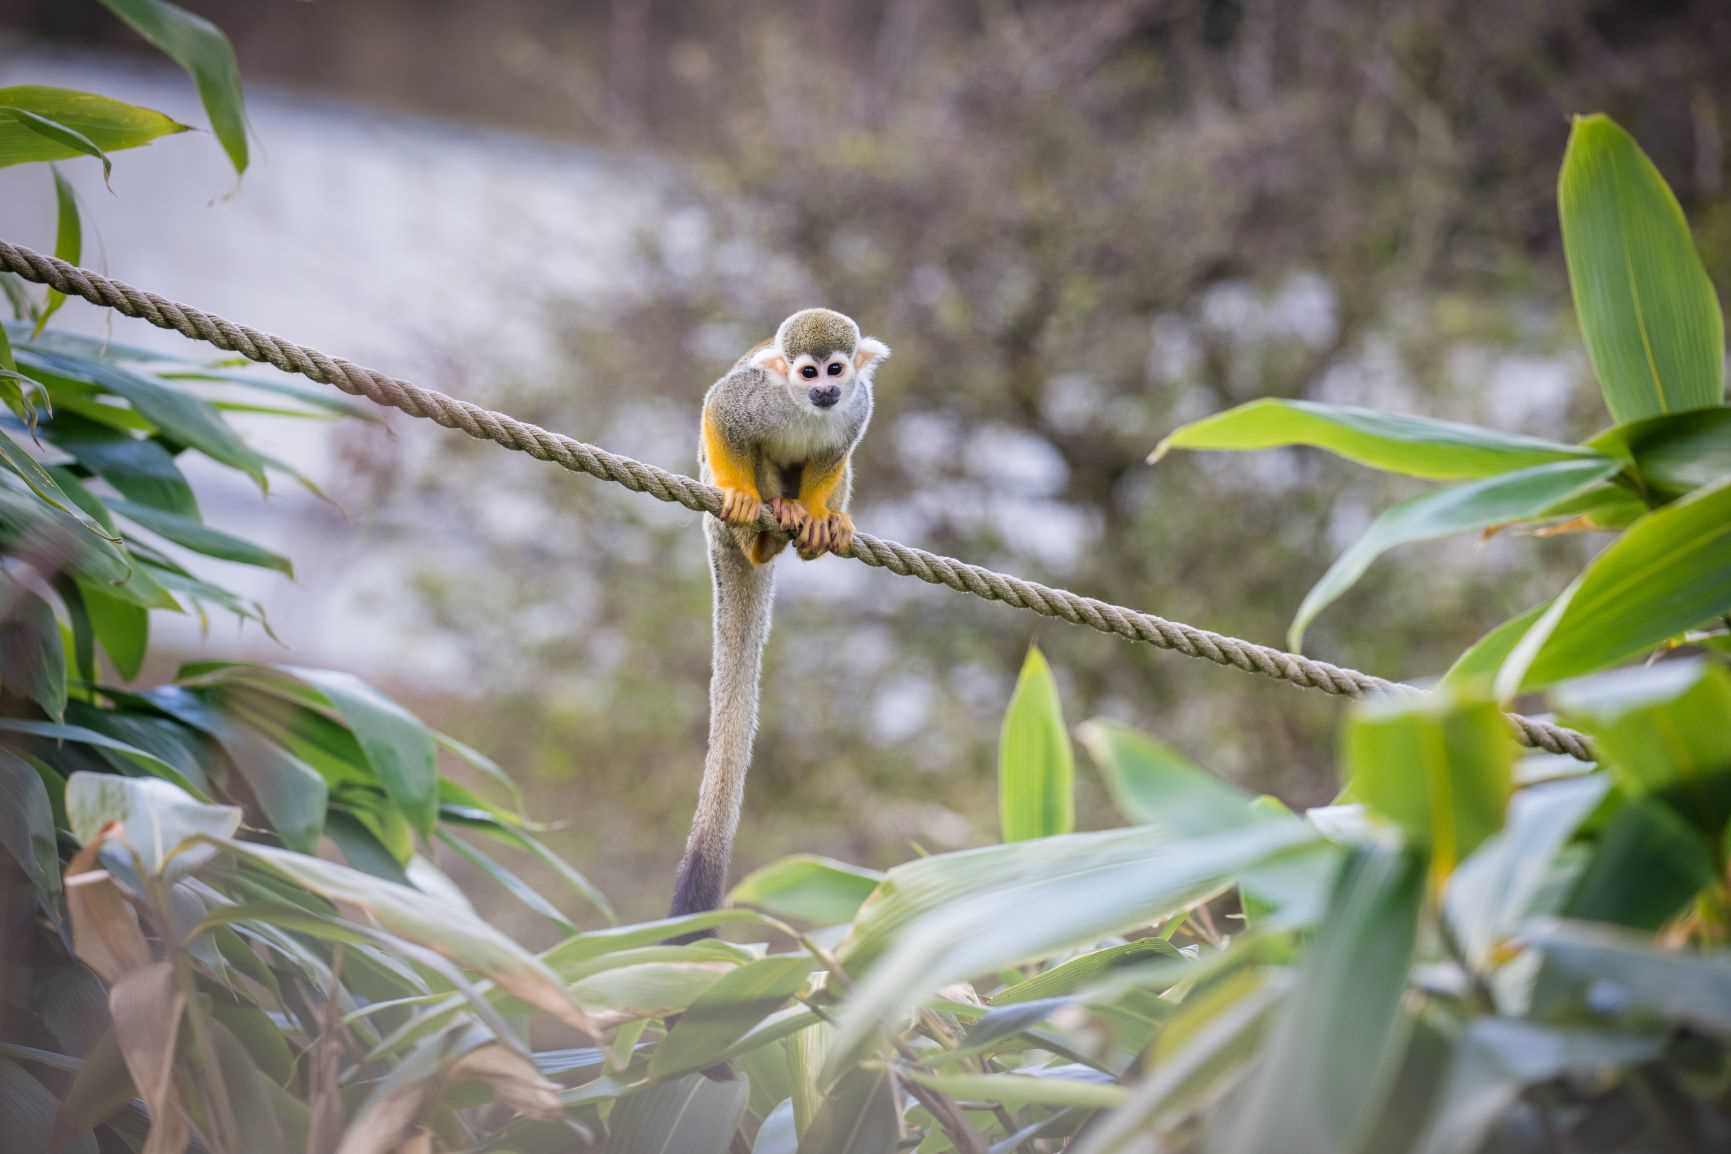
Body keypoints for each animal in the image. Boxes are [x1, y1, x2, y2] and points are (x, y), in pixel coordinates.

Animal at [670, 308, 890, 921]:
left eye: (836, 370)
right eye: (808, 371)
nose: (824, 390)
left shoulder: (858, 406)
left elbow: (835, 453)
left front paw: (816, 515)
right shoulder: (753, 398)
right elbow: (720, 411)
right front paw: (741, 495)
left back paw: (816, 523)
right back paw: (760, 533)